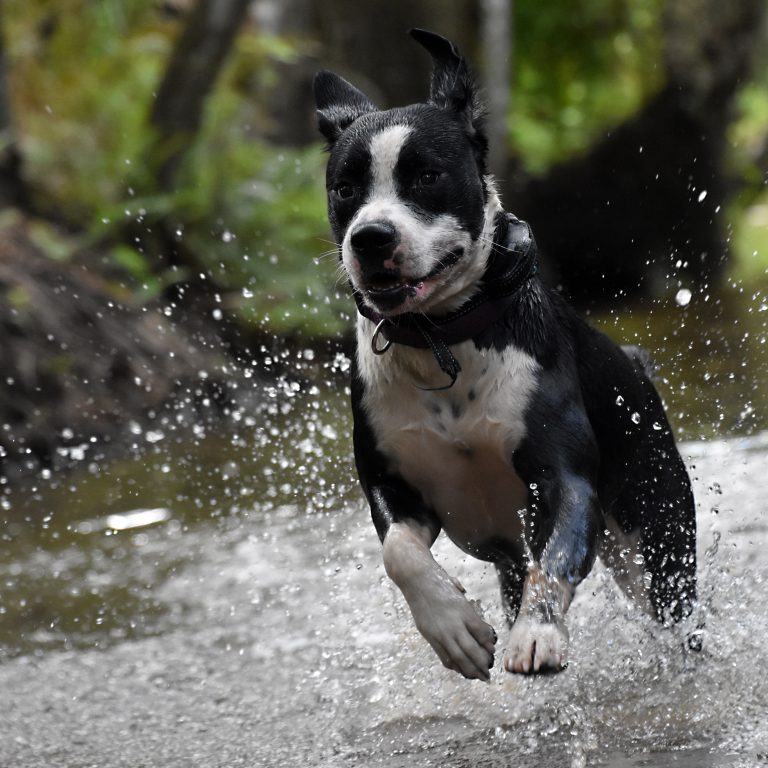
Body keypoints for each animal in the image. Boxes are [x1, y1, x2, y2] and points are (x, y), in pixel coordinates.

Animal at [316, 28, 700, 680]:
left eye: (427, 176)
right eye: (345, 188)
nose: (370, 237)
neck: (444, 340)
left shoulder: (563, 477)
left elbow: (558, 557)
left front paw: (538, 632)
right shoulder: (393, 486)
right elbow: (401, 554)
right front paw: (454, 629)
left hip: (659, 536)